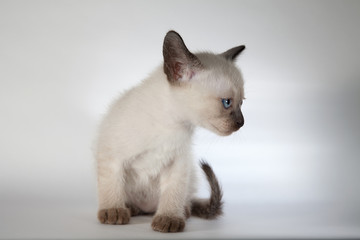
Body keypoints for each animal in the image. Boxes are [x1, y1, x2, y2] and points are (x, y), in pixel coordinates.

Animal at [95, 30, 246, 232]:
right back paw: (130, 208)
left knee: (185, 200)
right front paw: (114, 211)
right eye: (227, 102)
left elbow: (173, 193)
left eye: (242, 103)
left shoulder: (178, 163)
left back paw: (183, 211)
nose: (241, 122)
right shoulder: (111, 155)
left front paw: (169, 218)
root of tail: (147, 209)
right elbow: (111, 186)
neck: (170, 125)